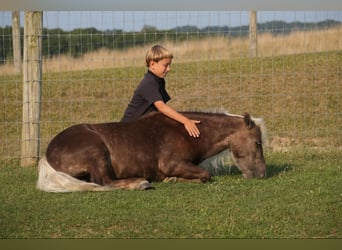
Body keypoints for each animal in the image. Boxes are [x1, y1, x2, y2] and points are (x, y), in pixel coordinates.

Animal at [37, 111, 268, 191]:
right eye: (258, 143)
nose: (262, 174)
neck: (186, 132)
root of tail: (48, 155)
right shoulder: (172, 163)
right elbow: (206, 175)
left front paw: (171, 180)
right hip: (96, 151)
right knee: (104, 181)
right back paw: (140, 183)